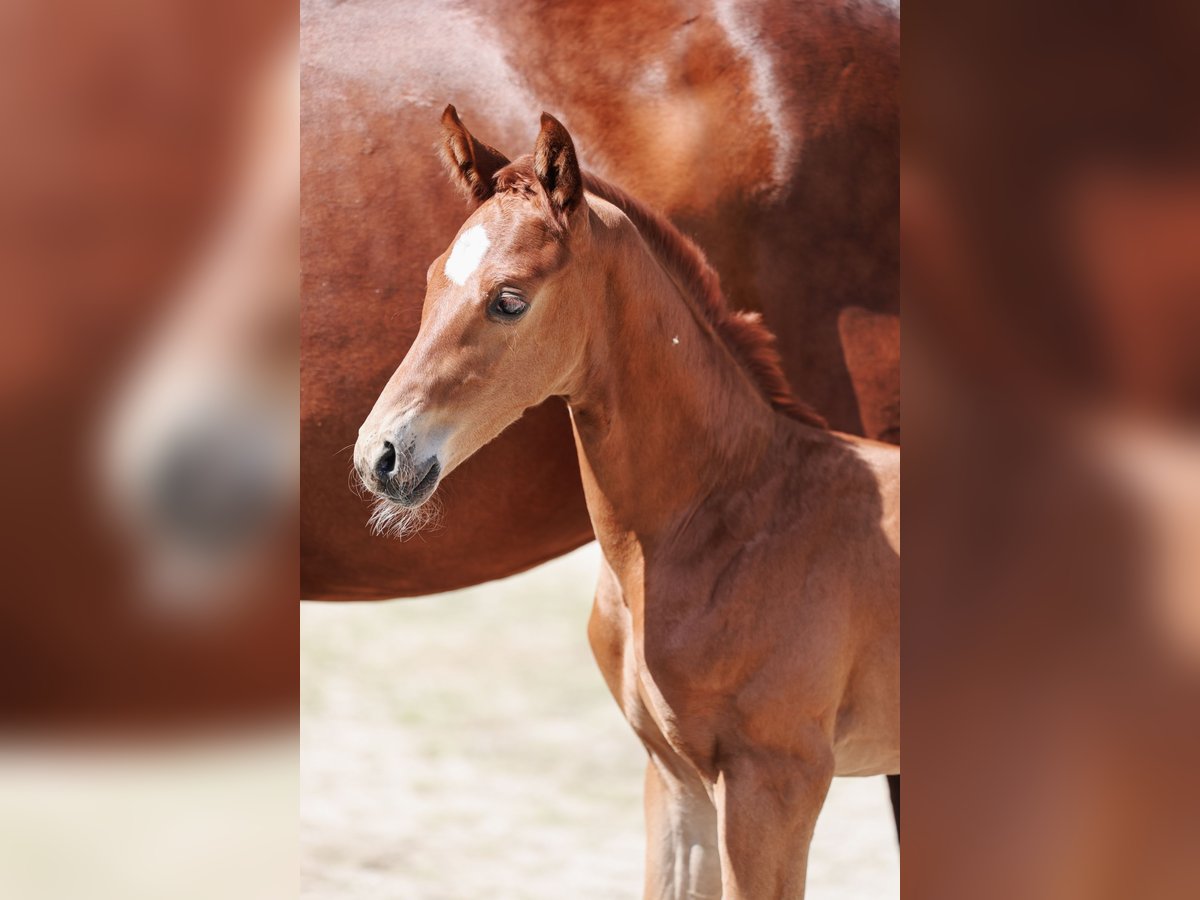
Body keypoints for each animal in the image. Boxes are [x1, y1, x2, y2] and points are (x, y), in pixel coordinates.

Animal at [355, 109, 902, 897]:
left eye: (509, 298)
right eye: (432, 278)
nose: (381, 455)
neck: (737, 511)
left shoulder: (777, 782)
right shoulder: (673, 777)